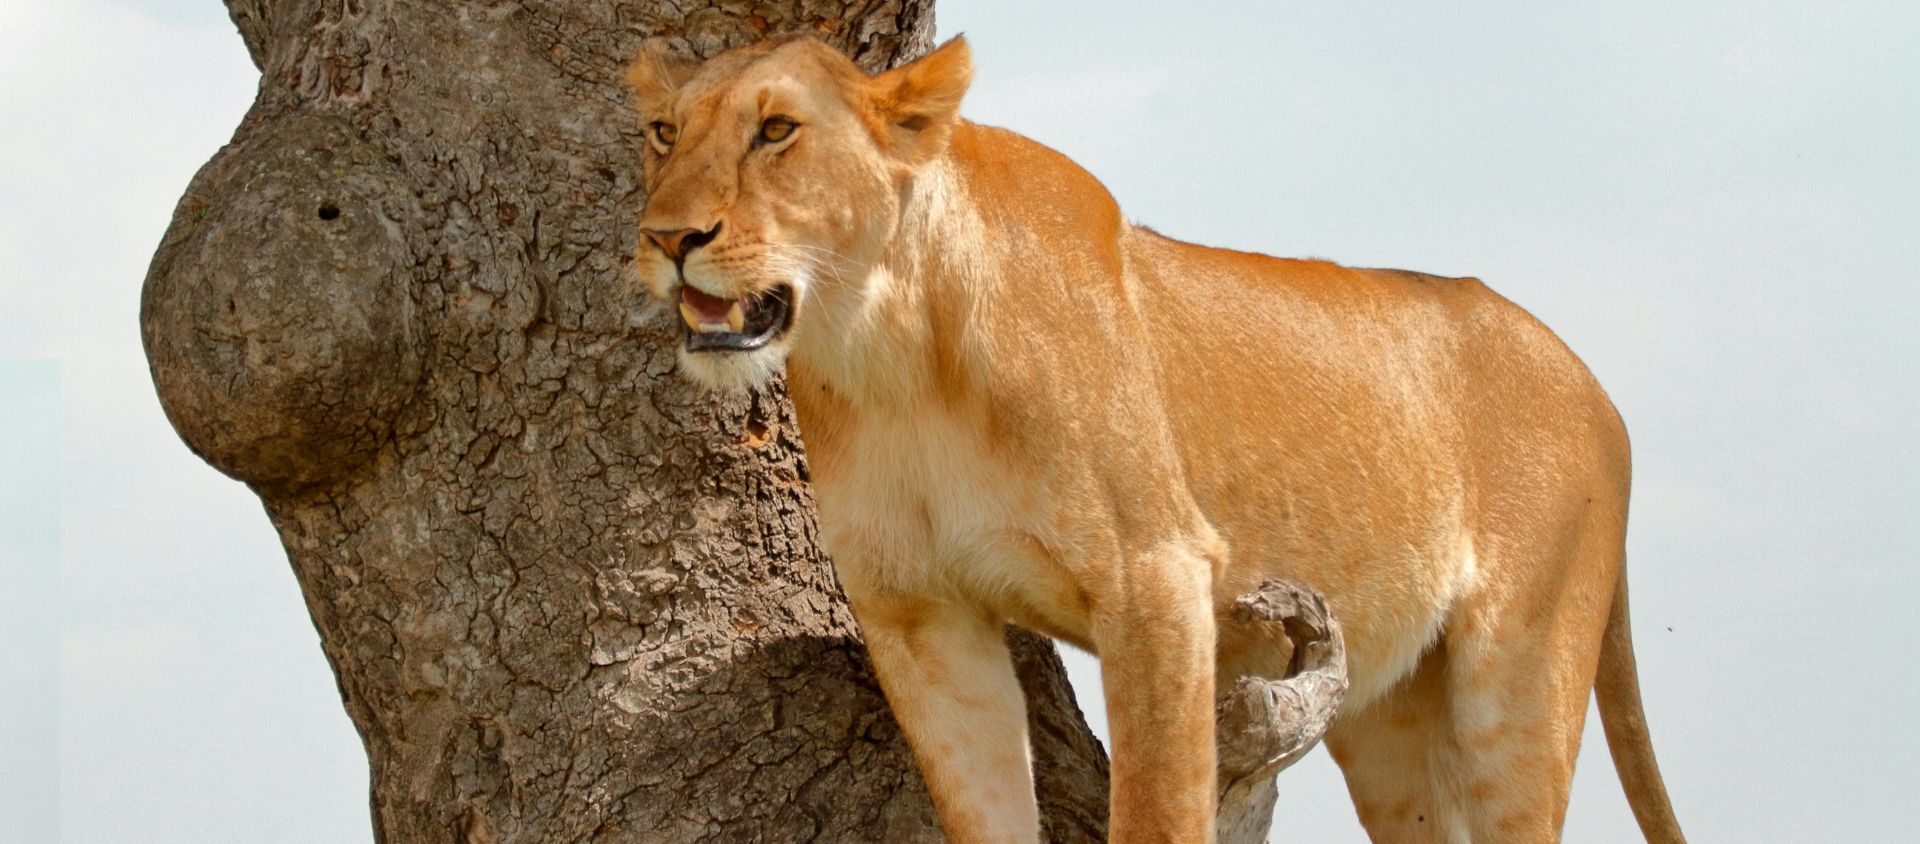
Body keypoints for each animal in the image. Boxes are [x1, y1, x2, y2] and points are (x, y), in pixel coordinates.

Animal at [626, 34, 1685, 843]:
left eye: (776, 130)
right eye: (664, 133)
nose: (667, 237)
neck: (887, 358)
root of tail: (1602, 392)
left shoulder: (1156, 580)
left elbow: (1157, 811)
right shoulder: (919, 614)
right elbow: (984, 810)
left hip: (1521, 674)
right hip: (1388, 719)